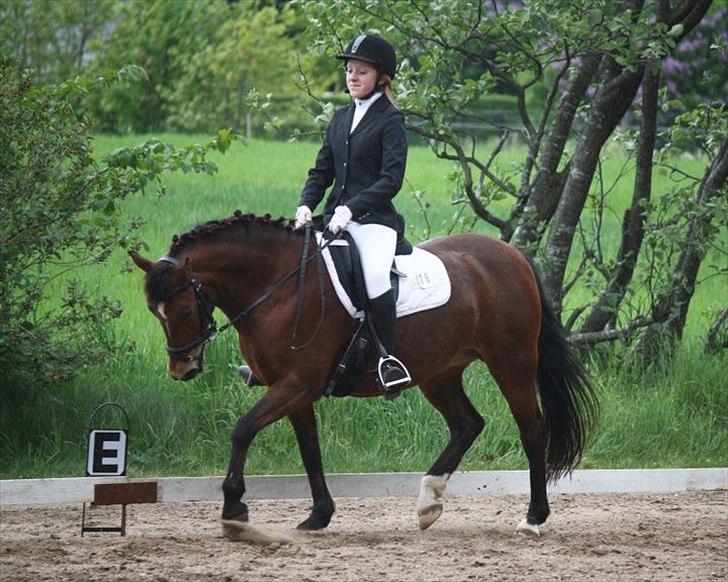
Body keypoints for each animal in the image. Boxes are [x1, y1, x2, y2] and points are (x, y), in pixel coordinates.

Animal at [129, 212, 596, 540]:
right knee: (467, 424)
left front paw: (234, 511)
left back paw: (533, 519)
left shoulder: (297, 383)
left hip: (511, 363)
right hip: (440, 371)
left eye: (183, 310)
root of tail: (512, 254)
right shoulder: (294, 389)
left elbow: (242, 429)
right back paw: (428, 503)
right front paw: (318, 516)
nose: (182, 368)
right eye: (153, 312)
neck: (282, 288)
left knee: (532, 431)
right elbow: (310, 450)